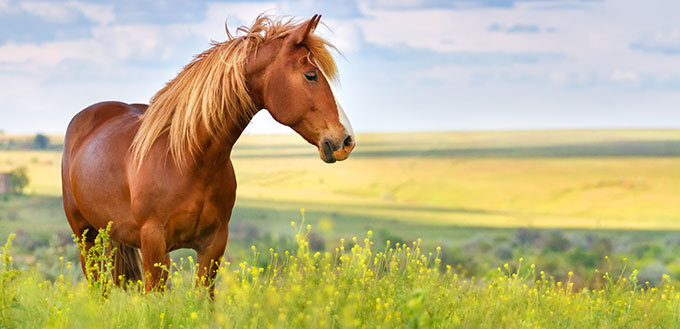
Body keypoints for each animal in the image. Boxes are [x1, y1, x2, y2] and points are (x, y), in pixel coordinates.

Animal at [59, 14, 356, 294]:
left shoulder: (213, 245)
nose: (346, 140)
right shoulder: (154, 244)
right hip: (86, 237)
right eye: (311, 75)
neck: (188, 161)